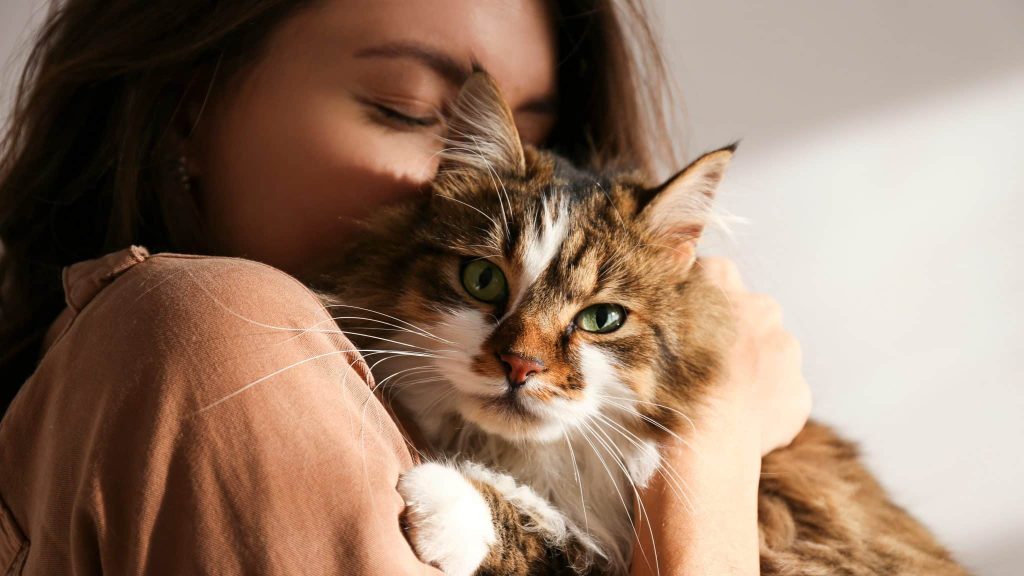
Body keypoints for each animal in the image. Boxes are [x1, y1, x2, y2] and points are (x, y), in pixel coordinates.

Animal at [317, 72, 966, 573]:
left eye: (602, 318)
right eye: (483, 280)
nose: (520, 365)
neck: (529, 461)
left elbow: (556, 539)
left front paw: (447, 503)